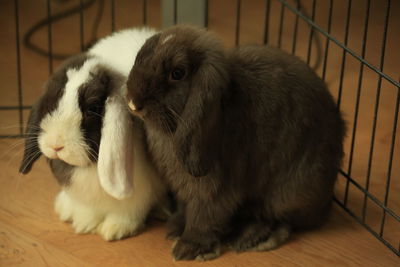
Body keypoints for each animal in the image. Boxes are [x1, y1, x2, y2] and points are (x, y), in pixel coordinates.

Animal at [18, 27, 169, 241]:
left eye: (93, 108)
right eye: (53, 100)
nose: (56, 144)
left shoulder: (138, 194)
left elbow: (128, 212)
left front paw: (113, 230)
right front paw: (84, 223)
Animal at [126, 26, 346, 260]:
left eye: (177, 73)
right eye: (140, 56)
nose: (133, 102)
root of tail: (326, 202)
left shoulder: (214, 190)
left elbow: (204, 216)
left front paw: (188, 249)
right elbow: (187, 208)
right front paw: (176, 227)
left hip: (289, 193)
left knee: (282, 219)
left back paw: (253, 237)